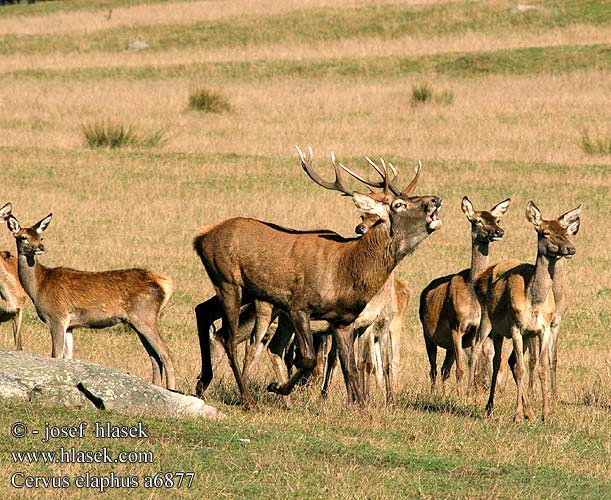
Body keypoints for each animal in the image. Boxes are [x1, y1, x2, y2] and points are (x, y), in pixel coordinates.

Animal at [5, 211, 177, 390]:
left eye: (41, 237)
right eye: (23, 237)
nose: (40, 247)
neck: (38, 286)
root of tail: (164, 284)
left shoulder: (56, 316)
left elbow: (55, 354)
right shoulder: (69, 326)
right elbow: (67, 357)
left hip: (144, 315)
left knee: (165, 352)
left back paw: (171, 388)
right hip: (137, 321)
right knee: (154, 356)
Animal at [194, 147, 442, 406]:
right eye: (399, 204)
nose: (436, 199)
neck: (346, 271)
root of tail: (200, 238)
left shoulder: (343, 321)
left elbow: (350, 367)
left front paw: (358, 405)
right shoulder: (299, 306)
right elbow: (309, 359)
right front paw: (277, 387)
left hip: (244, 289)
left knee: (203, 310)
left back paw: (202, 382)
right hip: (227, 279)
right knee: (228, 338)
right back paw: (246, 397)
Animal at [420, 197, 512, 392]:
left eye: (497, 219)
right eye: (477, 220)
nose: (499, 231)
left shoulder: (476, 330)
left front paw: (467, 390)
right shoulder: (457, 325)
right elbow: (460, 369)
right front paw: (461, 393)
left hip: (449, 344)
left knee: (444, 369)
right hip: (427, 334)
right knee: (433, 368)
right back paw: (434, 392)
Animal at [476, 201, 580, 420]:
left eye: (565, 230)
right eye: (545, 232)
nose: (571, 248)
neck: (534, 301)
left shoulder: (543, 329)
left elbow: (541, 367)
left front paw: (545, 413)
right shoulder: (516, 328)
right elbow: (522, 369)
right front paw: (516, 415)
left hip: (524, 336)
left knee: (512, 361)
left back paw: (530, 412)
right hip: (496, 329)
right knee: (499, 361)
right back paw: (490, 407)